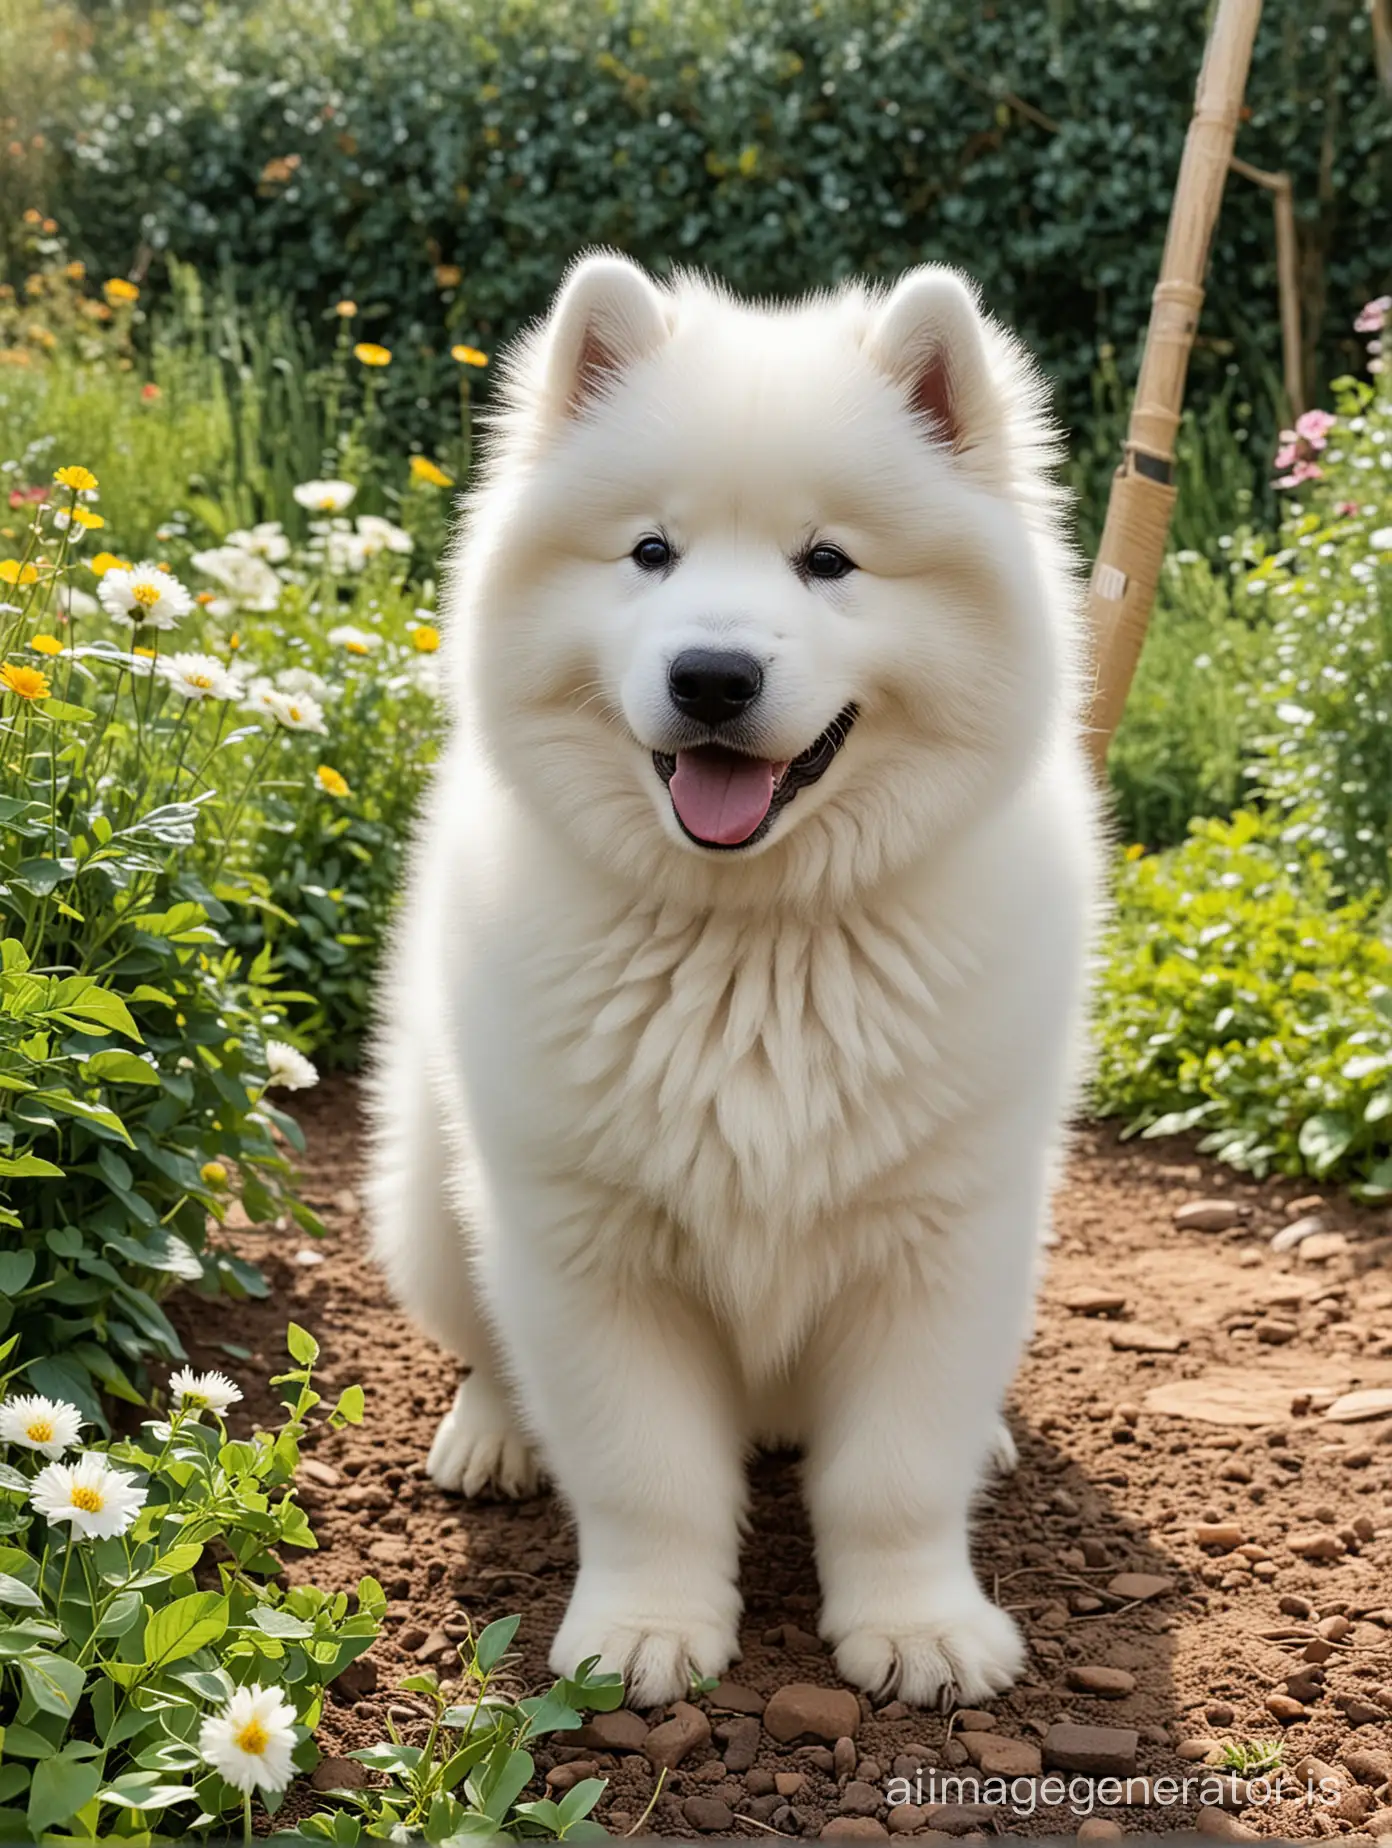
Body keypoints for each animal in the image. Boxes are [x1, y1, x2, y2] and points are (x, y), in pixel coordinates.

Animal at [364, 253, 1101, 1707]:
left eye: (830, 562)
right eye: (650, 552)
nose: (712, 675)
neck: (758, 943)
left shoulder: (942, 1241)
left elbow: (895, 1471)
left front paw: (920, 1627)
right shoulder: (587, 1242)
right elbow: (644, 1470)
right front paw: (646, 1631)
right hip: (431, 1204)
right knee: (485, 1338)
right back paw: (493, 1432)